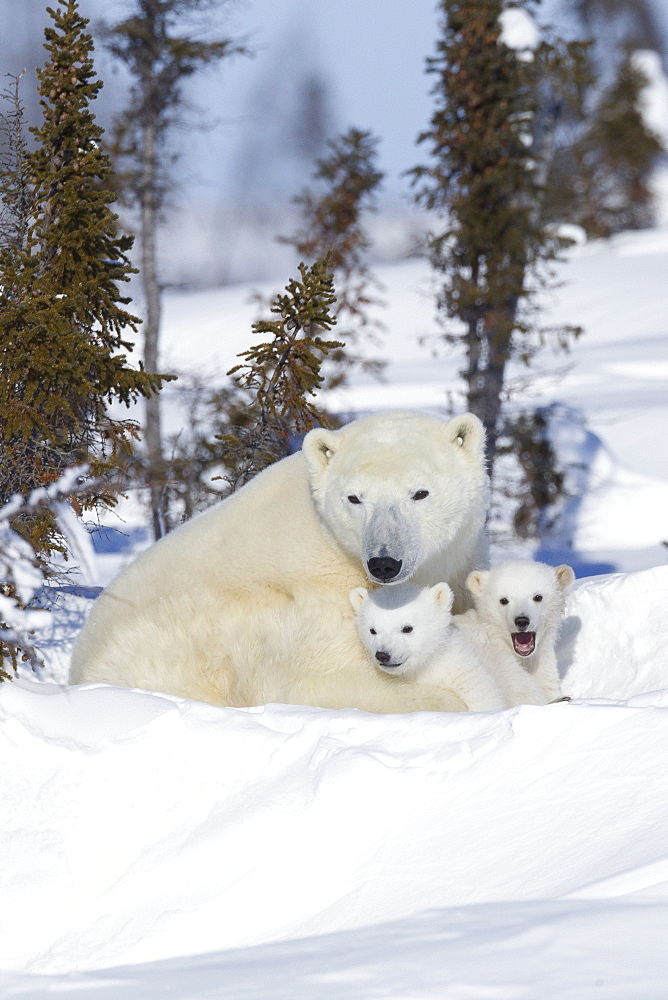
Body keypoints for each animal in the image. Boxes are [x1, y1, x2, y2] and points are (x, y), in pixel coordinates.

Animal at [70, 410, 490, 716]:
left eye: (420, 493)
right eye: (354, 498)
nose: (384, 562)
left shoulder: (459, 561)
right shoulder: (311, 608)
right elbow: (318, 680)